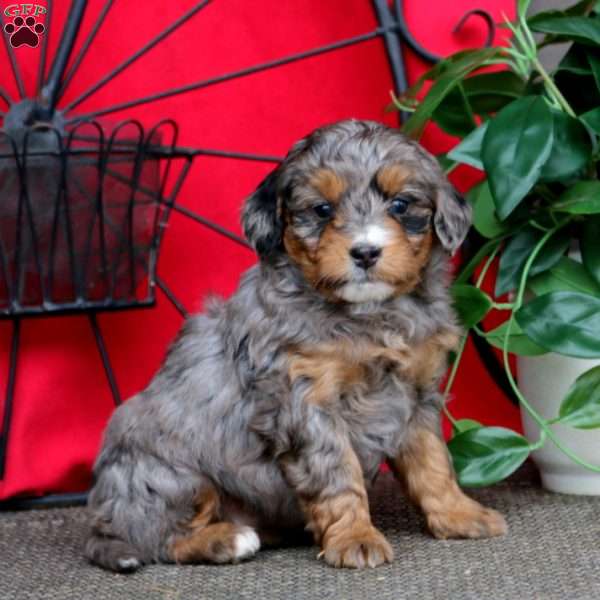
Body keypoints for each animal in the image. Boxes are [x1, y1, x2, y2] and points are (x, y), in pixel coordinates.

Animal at [84, 118, 506, 572]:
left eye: (400, 205)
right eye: (322, 210)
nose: (366, 252)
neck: (369, 316)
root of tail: (104, 520)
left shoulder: (417, 393)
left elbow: (432, 462)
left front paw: (459, 514)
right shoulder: (305, 399)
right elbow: (338, 473)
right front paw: (356, 538)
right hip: (170, 476)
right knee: (161, 538)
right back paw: (228, 539)